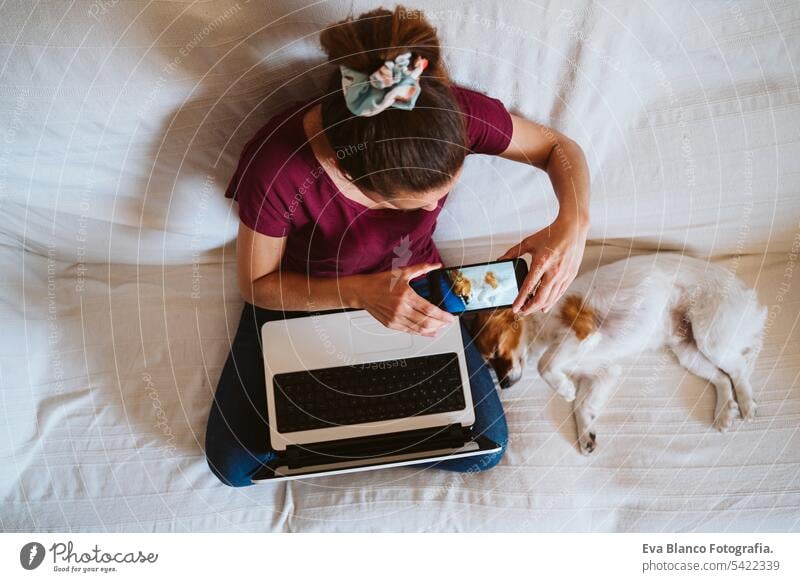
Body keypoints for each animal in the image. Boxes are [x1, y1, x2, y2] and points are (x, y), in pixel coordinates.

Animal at [466, 256, 764, 456]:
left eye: (496, 351)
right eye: (488, 364)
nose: (504, 384)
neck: (541, 325)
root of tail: (749, 295)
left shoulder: (583, 333)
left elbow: (544, 364)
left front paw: (564, 388)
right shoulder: (603, 371)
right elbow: (581, 406)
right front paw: (585, 433)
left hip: (710, 337)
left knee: (737, 370)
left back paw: (746, 404)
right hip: (687, 351)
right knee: (721, 378)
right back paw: (725, 411)